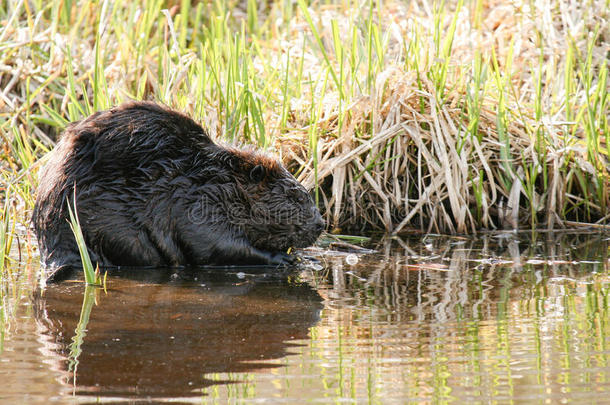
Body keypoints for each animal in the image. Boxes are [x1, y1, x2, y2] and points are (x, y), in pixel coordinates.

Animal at [33, 100, 326, 280]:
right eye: (293, 195)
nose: (321, 224)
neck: (218, 180)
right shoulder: (199, 207)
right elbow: (216, 247)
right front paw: (284, 259)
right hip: (115, 228)